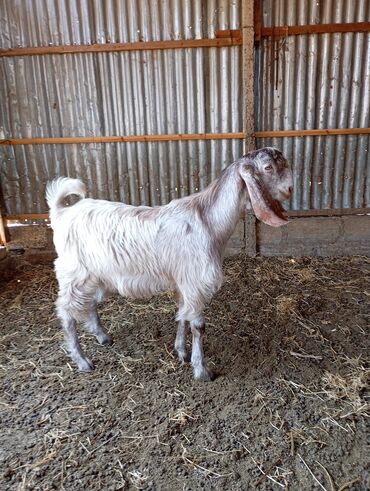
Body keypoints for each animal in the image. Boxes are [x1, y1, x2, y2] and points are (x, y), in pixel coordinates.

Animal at [46, 146, 294, 380]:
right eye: (268, 168)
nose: (290, 189)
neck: (209, 222)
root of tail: (61, 214)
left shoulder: (184, 282)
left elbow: (182, 316)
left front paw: (181, 352)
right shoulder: (195, 282)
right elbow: (197, 326)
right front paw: (201, 370)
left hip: (95, 275)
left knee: (89, 305)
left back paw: (102, 337)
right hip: (73, 274)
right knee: (66, 312)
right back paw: (82, 361)